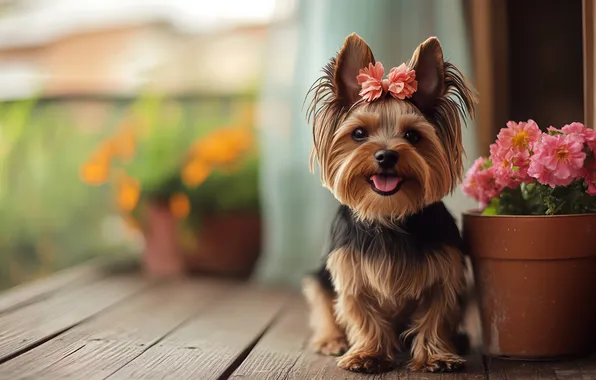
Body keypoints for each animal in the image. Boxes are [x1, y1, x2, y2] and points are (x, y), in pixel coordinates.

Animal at [302, 34, 474, 372]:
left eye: (413, 136)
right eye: (358, 133)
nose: (386, 155)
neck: (388, 214)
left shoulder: (446, 271)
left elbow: (437, 314)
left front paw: (435, 356)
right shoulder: (350, 274)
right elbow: (362, 315)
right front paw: (367, 354)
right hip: (317, 278)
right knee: (322, 303)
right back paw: (331, 340)